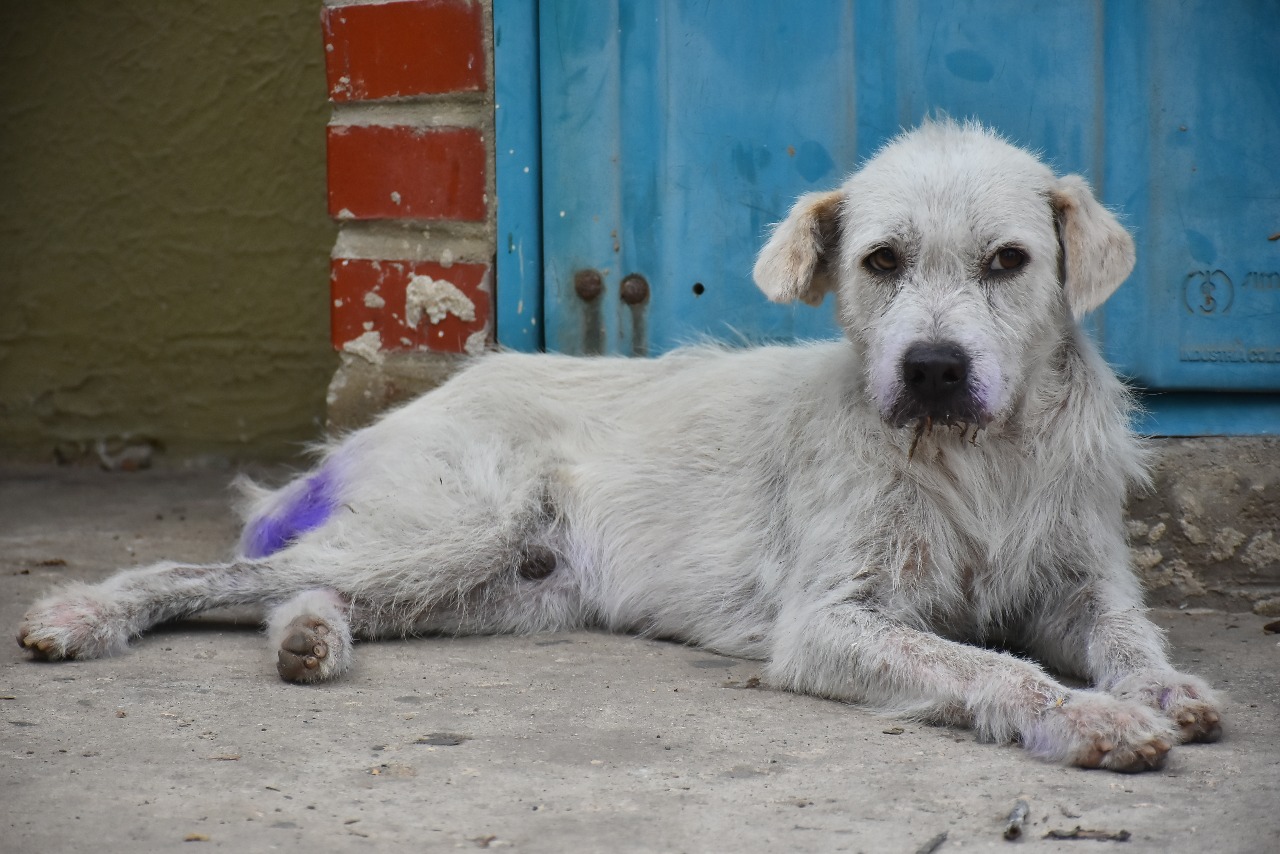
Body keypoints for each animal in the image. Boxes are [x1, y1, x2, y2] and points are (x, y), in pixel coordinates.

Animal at [17, 120, 1218, 773]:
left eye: (1008, 260)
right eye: (879, 260)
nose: (930, 367)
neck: (976, 455)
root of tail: (422, 399)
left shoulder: (1081, 580)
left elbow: (1123, 634)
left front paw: (1160, 688)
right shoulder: (832, 621)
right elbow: (993, 664)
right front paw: (1090, 718)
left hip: (496, 589)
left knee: (299, 587)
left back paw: (308, 639)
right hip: (451, 535)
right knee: (204, 571)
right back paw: (87, 615)